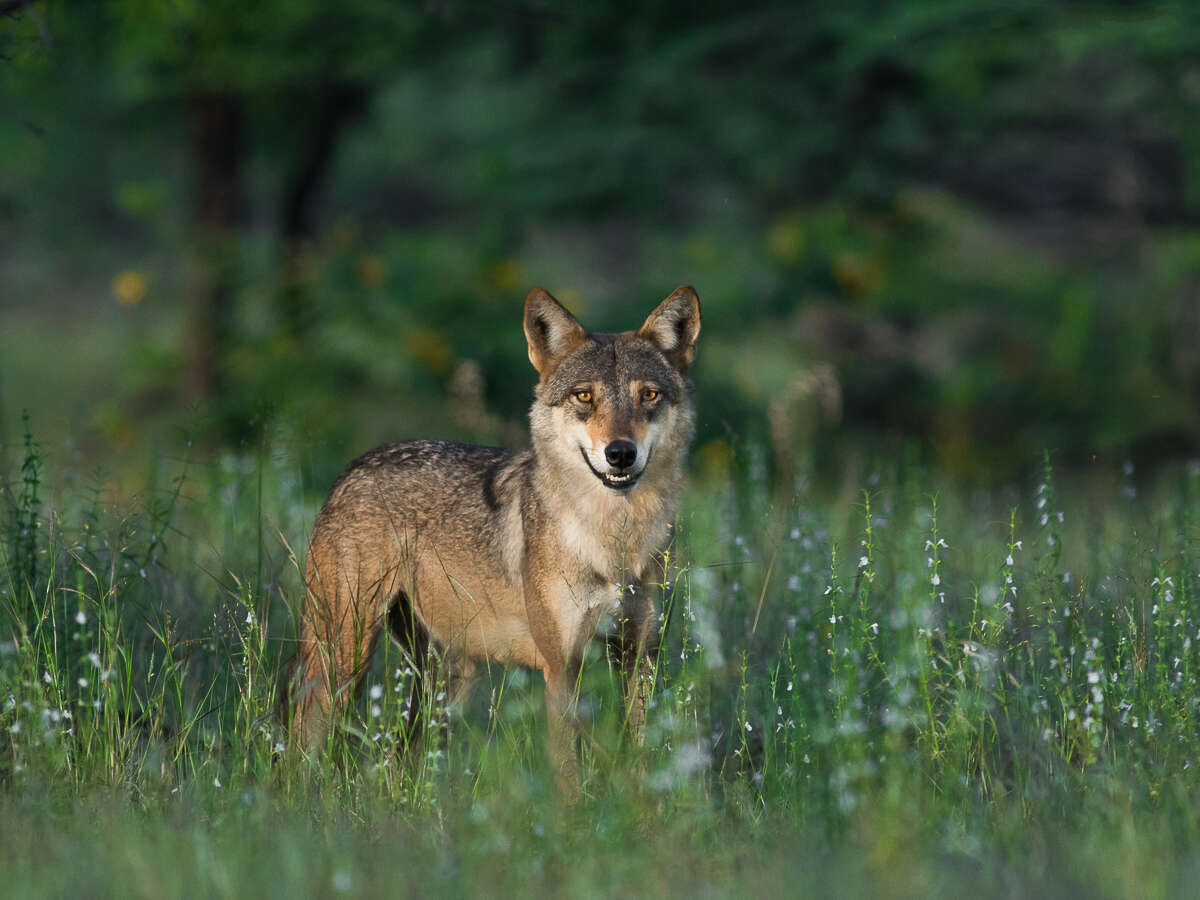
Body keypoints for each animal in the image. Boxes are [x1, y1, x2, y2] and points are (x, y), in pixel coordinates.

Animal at [290, 285, 700, 787]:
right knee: (301, 739)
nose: (620, 453)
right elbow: (569, 775)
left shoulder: (639, 656)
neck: (614, 542)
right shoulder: (560, 668)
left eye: (649, 395)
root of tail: (351, 469)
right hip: (343, 658)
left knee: (405, 756)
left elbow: (639, 757)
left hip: (446, 680)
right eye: (584, 396)